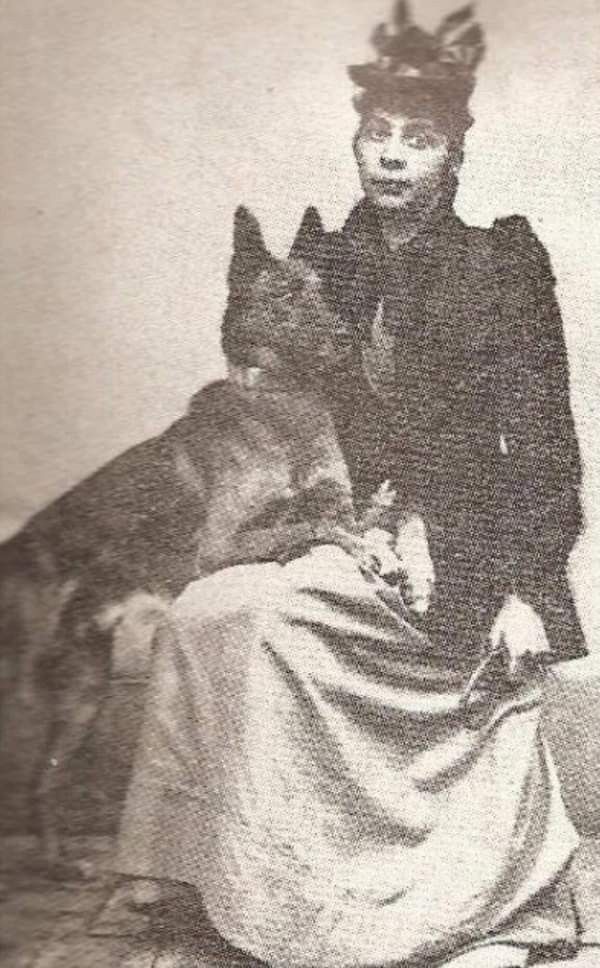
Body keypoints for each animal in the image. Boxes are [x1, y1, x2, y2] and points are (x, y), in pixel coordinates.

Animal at [0, 208, 392, 880]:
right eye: (284, 297)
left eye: (324, 290)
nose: (347, 340)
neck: (279, 406)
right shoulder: (221, 543)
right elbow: (315, 527)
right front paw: (360, 547)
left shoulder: (332, 496)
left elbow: (345, 514)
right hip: (28, 686)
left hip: (85, 688)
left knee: (42, 782)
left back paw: (61, 865)